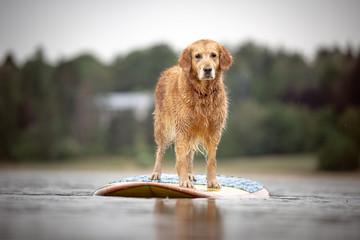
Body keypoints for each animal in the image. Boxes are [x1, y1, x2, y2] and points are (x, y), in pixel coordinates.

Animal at [150, 39, 232, 188]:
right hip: (162, 127)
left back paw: (190, 174)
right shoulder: (182, 128)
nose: (207, 69)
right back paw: (156, 173)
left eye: (214, 55)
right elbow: (181, 159)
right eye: (197, 56)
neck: (203, 93)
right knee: (160, 150)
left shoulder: (214, 130)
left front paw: (212, 181)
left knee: (190, 153)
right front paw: (184, 181)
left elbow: (211, 160)